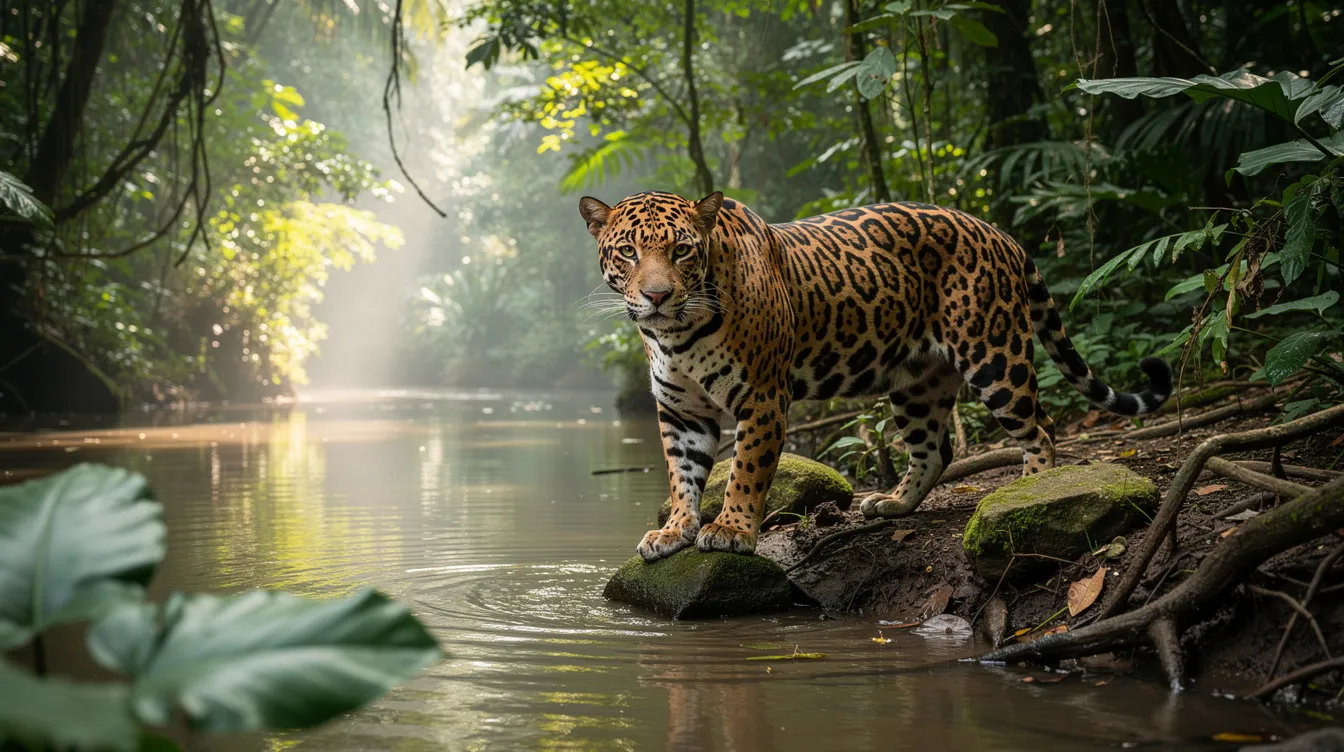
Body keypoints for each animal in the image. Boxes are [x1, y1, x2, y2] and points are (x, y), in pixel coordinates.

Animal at [578, 191, 1171, 561]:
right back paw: (893, 504)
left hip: (995, 355)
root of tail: (999, 232)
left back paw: (1028, 493)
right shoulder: (681, 411)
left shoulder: (764, 398)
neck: (678, 334)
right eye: (628, 251)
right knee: (935, 448)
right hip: (917, 381)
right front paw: (675, 530)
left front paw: (730, 530)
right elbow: (682, 476)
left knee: (1041, 427)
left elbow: (745, 470)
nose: (657, 296)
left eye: (682, 250)